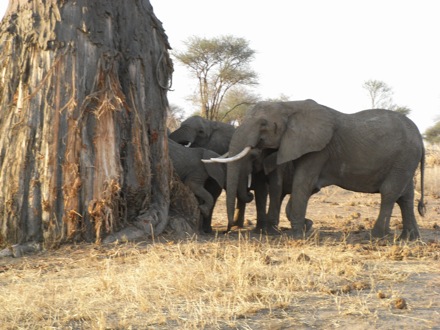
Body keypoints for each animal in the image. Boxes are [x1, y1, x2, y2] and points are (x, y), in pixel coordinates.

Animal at [210, 98, 426, 240]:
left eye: (263, 124)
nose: (227, 230)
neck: (289, 105)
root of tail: (421, 139)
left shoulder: (318, 150)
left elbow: (302, 183)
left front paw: (297, 235)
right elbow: (299, 186)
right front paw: (305, 226)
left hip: (404, 157)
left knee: (389, 192)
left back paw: (377, 236)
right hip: (405, 161)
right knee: (405, 195)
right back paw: (410, 237)